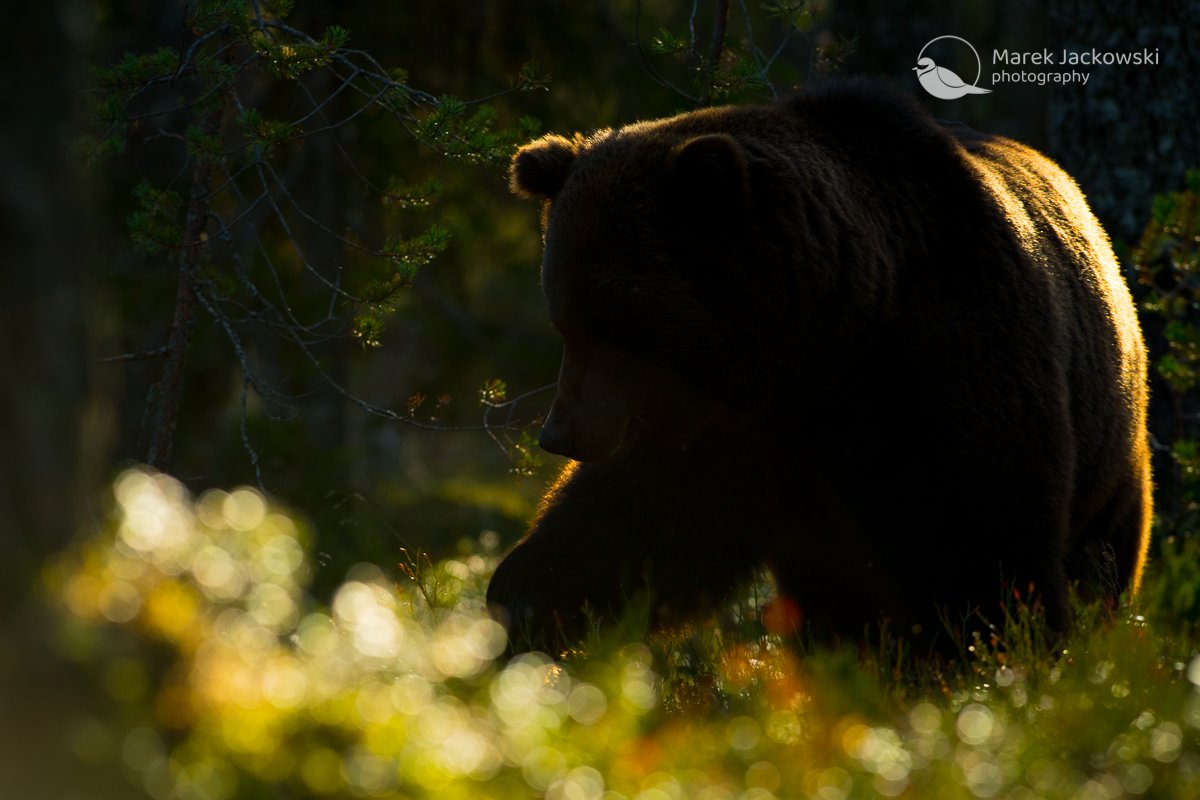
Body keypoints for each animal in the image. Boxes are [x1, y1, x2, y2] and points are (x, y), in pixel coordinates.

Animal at [484, 81, 1152, 652]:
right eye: (566, 324)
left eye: (619, 329)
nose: (558, 435)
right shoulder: (728, 431)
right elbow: (637, 524)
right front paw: (519, 606)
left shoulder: (957, 366)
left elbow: (982, 549)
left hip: (1111, 458)